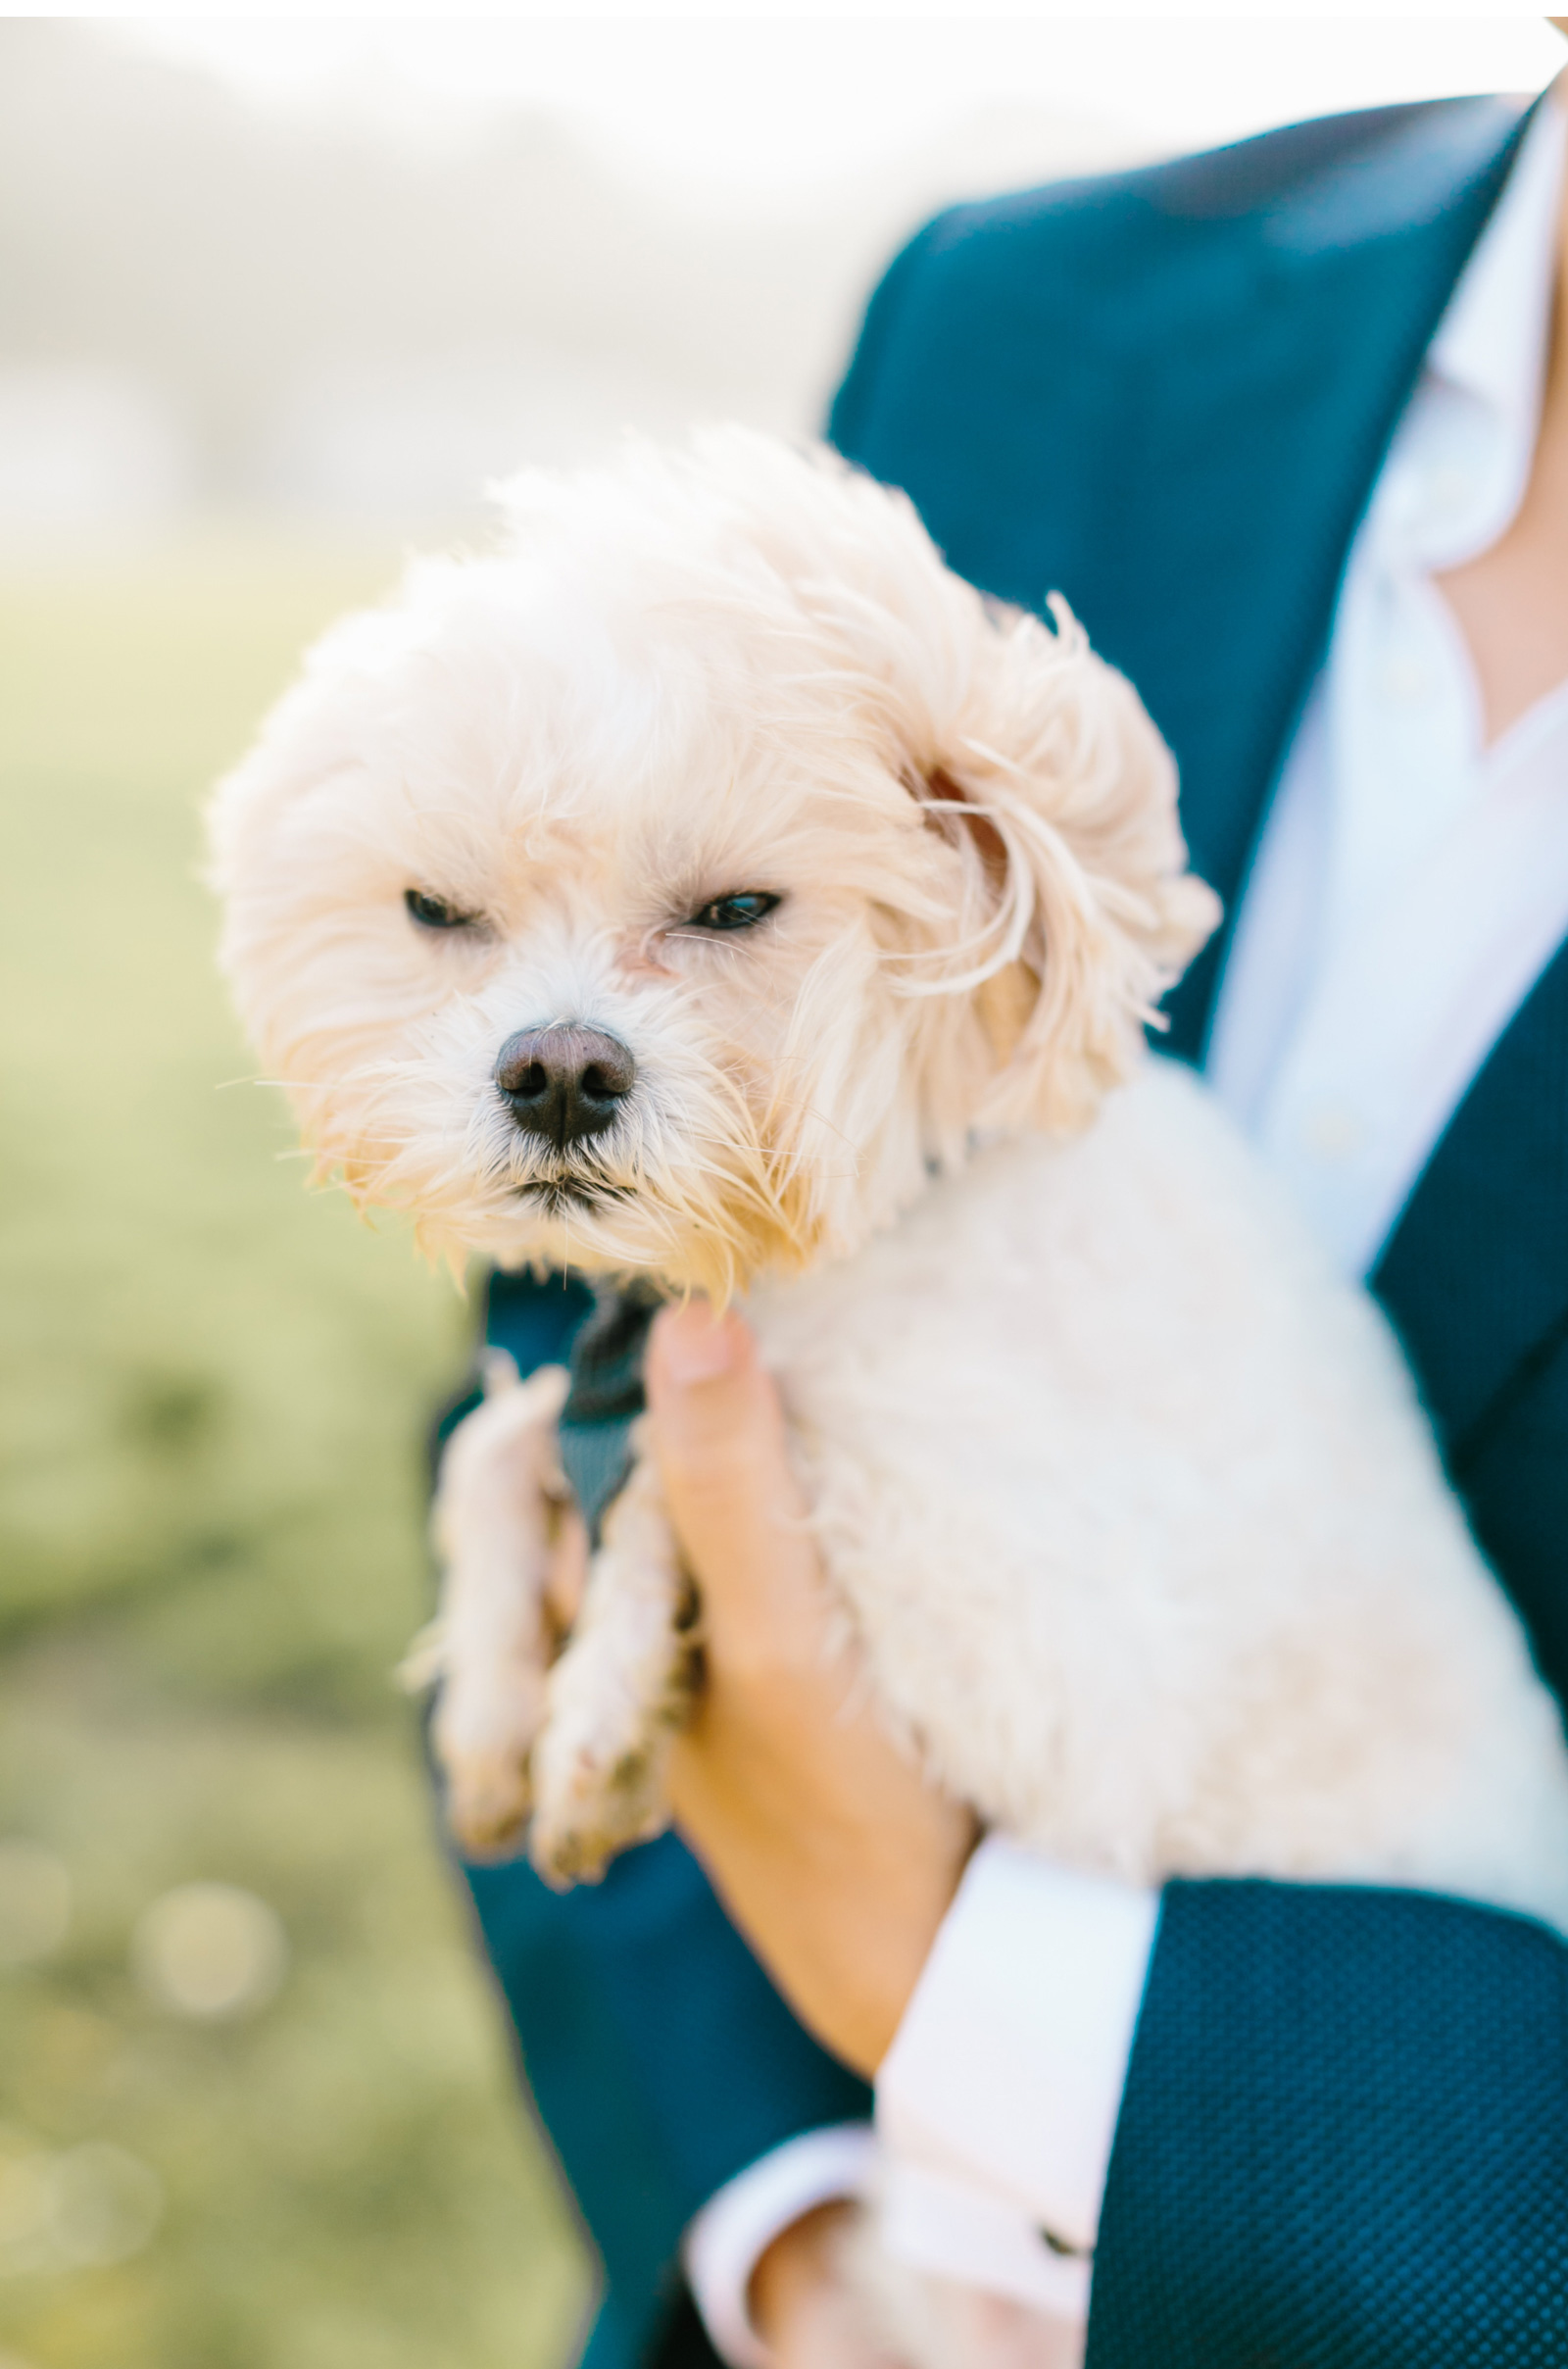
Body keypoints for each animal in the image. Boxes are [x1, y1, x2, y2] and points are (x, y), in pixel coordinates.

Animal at [212, 435, 1568, 2359]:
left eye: (737, 909)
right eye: (436, 912)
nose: (556, 1070)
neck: (867, 1223)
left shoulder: (1032, 1638)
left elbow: (697, 1472)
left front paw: (602, 1691)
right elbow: (501, 1441)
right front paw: (490, 1692)